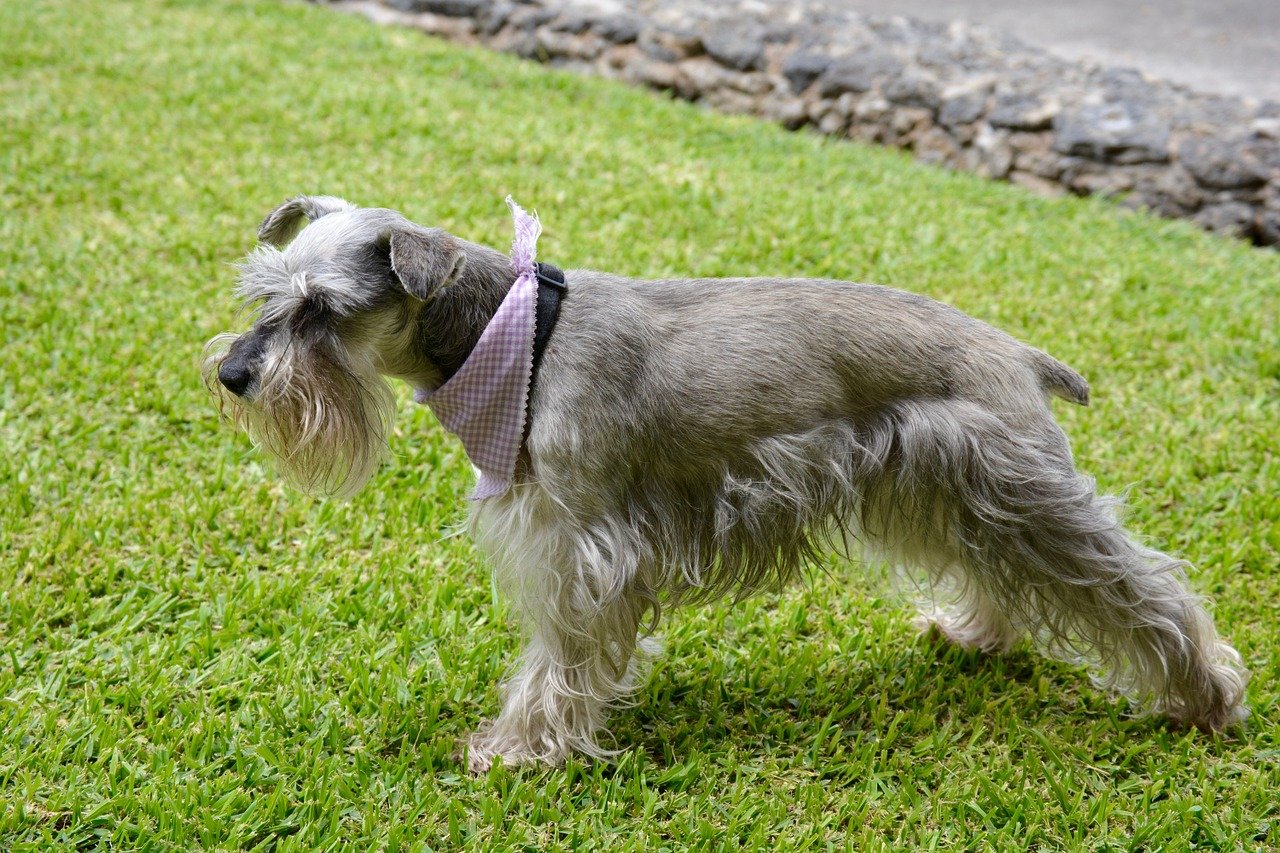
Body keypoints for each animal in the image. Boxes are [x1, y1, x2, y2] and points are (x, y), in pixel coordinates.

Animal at [207, 195, 1249, 768]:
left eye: (320, 310)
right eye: (265, 295)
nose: (233, 374)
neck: (513, 336)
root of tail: (1019, 354)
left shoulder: (585, 549)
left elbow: (559, 660)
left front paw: (518, 751)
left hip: (1019, 490)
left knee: (1138, 589)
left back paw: (1204, 697)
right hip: (955, 493)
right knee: (1004, 572)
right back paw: (977, 632)